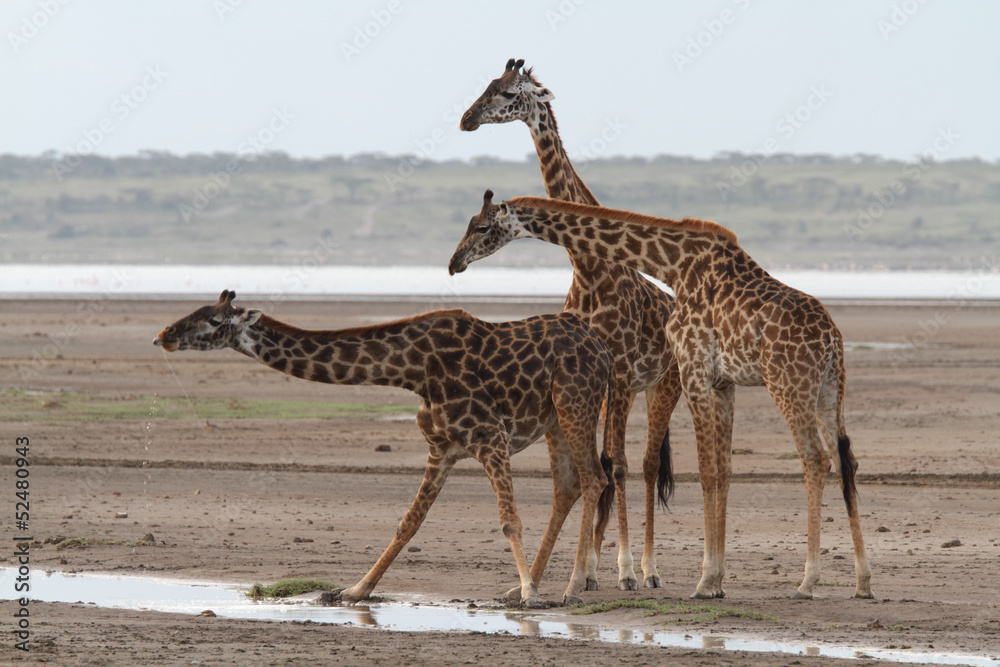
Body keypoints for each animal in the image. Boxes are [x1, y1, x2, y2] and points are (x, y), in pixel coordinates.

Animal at [154, 290, 613, 606]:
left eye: (213, 320)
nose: (163, 336)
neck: (412, 370)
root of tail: (602, 347)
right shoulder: (441, 448)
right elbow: (407, 523)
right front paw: (356, 589)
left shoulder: (490, 438)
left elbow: (508, 521)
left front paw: (533, 597)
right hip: (555, 419)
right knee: (568, 487)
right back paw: (523, 586)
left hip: (576, 404)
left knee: (594, 479)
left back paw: (571, 587)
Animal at [449, 193, 874, 600]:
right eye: (468, 222)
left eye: (482, 226)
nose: (455, 262)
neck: (675, 266)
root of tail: (833, 340)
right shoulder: (724, 382)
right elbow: (724, 470)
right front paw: (718, 581)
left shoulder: (693, 368)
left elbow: (705, 470)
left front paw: (705, 581)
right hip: (829, 392)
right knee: (846, 461)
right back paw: (863, 582)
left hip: (789, 386)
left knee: (816, 460)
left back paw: (807, 581)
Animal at [458, 57, 682, 593]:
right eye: (488, 85)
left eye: (505, 92)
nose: (466, 120)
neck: (588, 266)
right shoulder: (597, 377)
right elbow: (600, 465)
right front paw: (591, 569)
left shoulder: (619, 371)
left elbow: (618, 466)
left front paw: (623, 569)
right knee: (614, 463)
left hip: (664, 386)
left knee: (645, 465)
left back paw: (649, 569)